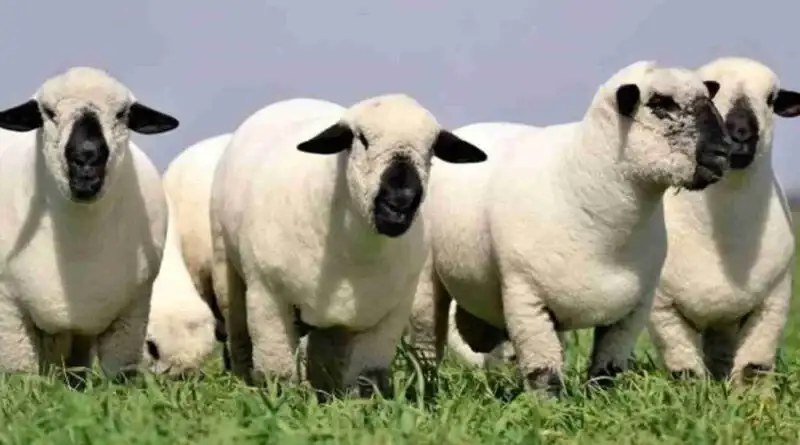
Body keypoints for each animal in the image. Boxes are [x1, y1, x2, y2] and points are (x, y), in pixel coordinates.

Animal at [0, 66, 179, 384]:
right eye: (48, 112)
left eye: (122, 114)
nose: (86, 157)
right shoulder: (8, 312)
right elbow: (21, 379)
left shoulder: (131, 315)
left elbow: (117, 380)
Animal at [210, 95, 487, 399]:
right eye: (361, 139)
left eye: (431, 149)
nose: (400, 201)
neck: (358, 252)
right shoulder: (268, 298)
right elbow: (278, 372)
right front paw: (281, 403)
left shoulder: (390, 313)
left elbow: (368, 378)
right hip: (227, 270)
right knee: (238, 335)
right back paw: (243, 381)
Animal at [418, 61, 732, 397]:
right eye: (661, 104)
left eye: (709, 99)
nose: (722, 152)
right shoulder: (526, 297)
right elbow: (543, 373)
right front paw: (549, 407)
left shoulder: (633, 309)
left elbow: (607, 369)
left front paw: (600, 398)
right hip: (427, 282)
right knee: (427, 343)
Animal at [648, 57, 800, 384]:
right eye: (711, 92)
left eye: (771, 99)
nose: (740, 132)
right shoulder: (662, 307)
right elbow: (685, 370)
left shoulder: (773, 300)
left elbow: (753, 368)